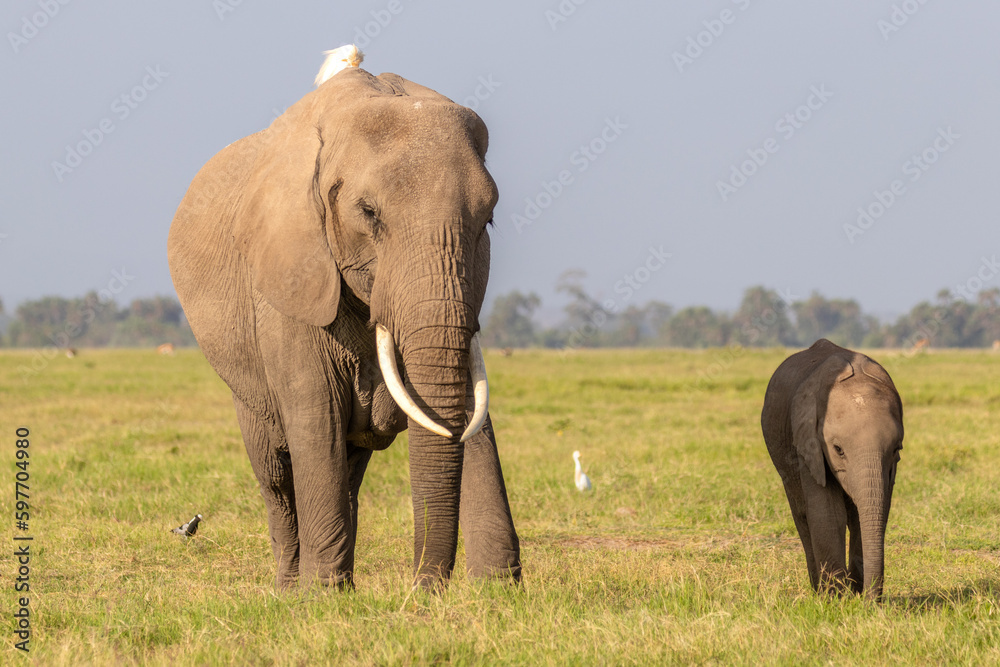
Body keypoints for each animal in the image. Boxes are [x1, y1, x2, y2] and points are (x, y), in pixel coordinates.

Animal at [167, 56, 521, 591]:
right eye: (369, 213)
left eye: (488, 221)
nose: (421, 590)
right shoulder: (289, 275)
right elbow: (317, 419)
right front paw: (323, 597)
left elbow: (466, 404)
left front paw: (498, 591)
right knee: (277, 472)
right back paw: (291, 588)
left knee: (348, 468)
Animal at [760, 339, 903, 600]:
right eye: (838, 450)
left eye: (897, 448)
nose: (870, 603)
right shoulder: (808, 442)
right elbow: (827, 513)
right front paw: (836, 599)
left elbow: (873, 512)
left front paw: (853, 594)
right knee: (802, 514)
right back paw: (818, 590)